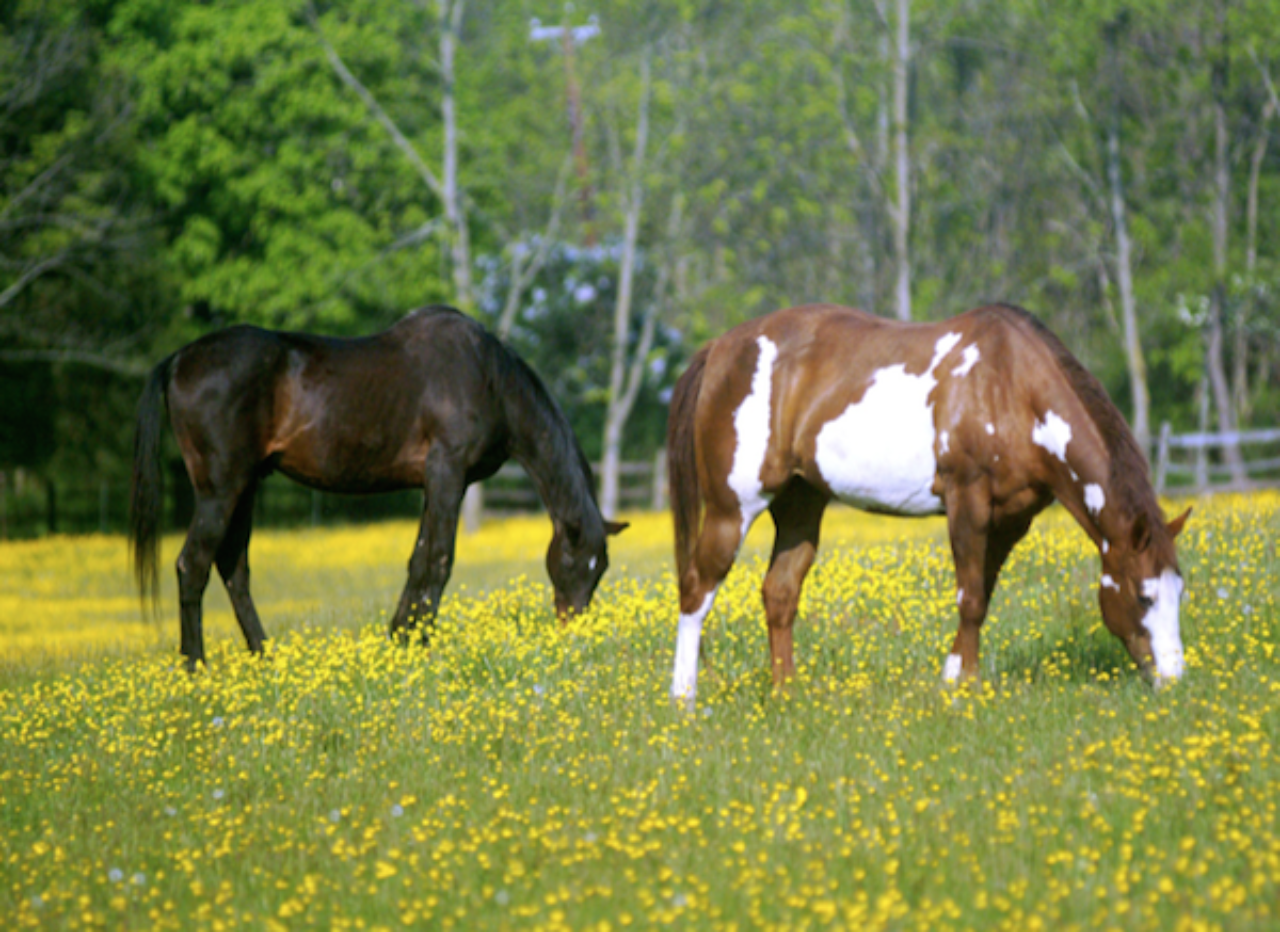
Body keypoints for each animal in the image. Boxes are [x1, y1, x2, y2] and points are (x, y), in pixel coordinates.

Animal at [129, 307, 624, 670]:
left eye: (600, 569)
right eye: (577, 564)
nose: (576, 634)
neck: (488, 377)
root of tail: (179, 360)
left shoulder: (436, 483)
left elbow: (418, 559)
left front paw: (400, 637)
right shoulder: (447, 473)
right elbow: (438, 561)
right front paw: (420, 644)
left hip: (246, 486)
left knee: (234, 569)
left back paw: (266, 657)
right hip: (221, 488)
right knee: (192, 565)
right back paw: (196, 666)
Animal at [670, 302, 1187, 701]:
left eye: (1180, 591)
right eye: (1144, 595)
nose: (1174, 680)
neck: (1009, 387)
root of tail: (719, 349)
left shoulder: (1010, 520)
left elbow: (983, 594)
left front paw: (954, 679)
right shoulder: (966, 499)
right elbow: (970, 598)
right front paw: (967, 690)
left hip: (801, 504)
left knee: (779, 593)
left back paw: (786, 694)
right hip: (732, 509)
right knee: (696, 590)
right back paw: (684, 698)